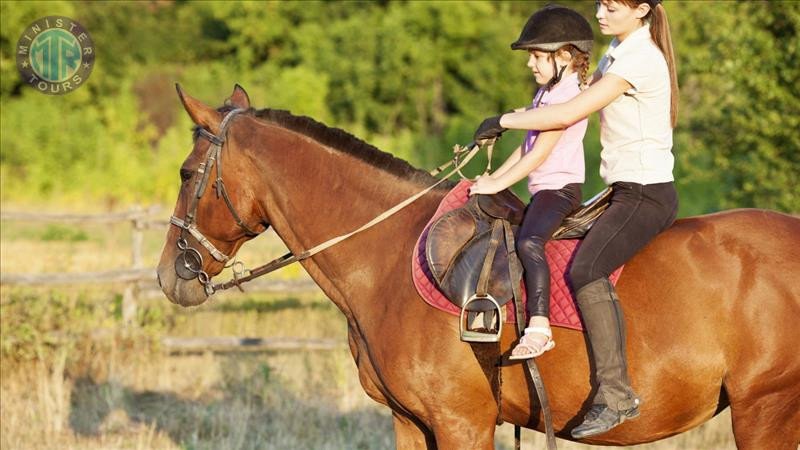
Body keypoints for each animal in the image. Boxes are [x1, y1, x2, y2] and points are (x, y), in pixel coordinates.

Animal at [158, 85, 800, 450]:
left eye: (187, 173)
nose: (171, 276)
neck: (389, 259)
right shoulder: (411, 424)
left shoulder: (461, 423)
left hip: (767, 411)